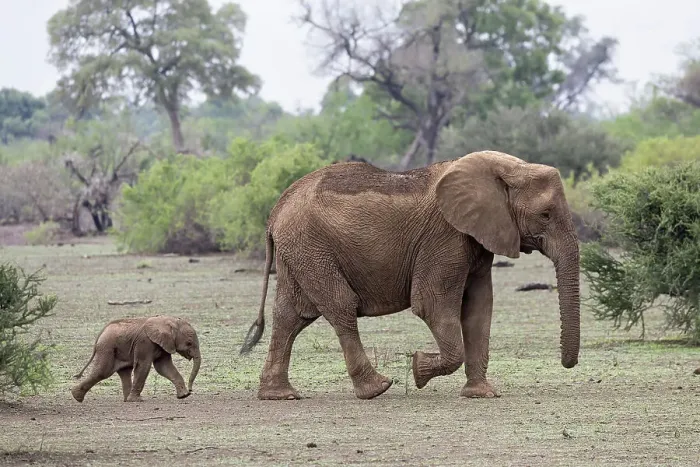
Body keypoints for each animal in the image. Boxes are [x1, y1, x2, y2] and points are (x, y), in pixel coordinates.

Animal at [71, 315, 201, 402]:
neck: (168, 321)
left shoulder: (163, 344)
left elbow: (164, 367)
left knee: (124, 372)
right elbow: (144, 365)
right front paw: (137, 400)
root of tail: (102, 332)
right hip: (107, 347)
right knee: (102, 372)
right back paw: (76, 397)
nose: (191, 390)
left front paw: (184, 396)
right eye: (189, 343)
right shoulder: (145, 342)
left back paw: (127, 400)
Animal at [239, 150, 580, 401]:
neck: (504, 169)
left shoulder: (477, 238)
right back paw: (377, 389)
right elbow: (432, 305)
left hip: (299, 252)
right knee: (340, 306)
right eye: (545, 215)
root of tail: (275, 212)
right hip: (311, 248)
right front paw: (418, 369)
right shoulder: (445, 237)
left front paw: (482, 394)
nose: (568, 364)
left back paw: (279, 395)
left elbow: (479, 308)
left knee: (291, 315)